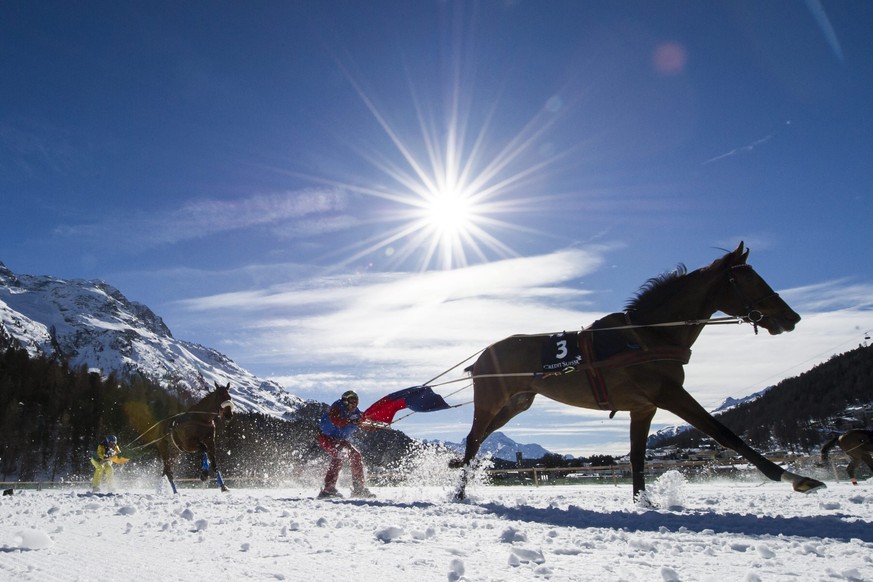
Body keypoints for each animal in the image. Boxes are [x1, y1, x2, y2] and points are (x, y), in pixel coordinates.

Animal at [456, 244, 824, 504]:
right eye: (748, 279)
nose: (791, 318)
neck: (648, 335)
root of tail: (484, 355)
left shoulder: (643, 407)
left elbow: (636, 456)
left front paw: (642, 500)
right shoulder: (669, 394)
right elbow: (724, 433)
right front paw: (795, 478)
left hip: (516, 403)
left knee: (481, 438)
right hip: (491, 400)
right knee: (473, 439)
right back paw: (459, 492)